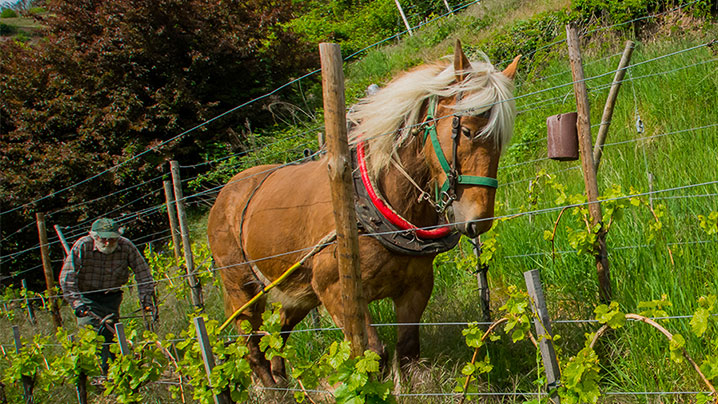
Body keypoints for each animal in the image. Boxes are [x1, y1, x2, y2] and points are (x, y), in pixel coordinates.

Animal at [205, 40, 520, 386]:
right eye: (465, 130)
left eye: (502, 138)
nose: (480, 219)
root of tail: (225, 193)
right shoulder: (336, 293)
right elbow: (374, 355)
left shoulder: (417, 286)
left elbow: (407, 352)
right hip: (241, 288)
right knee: (252, 346)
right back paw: (272, 389)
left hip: (297, 294)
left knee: (278, 335)